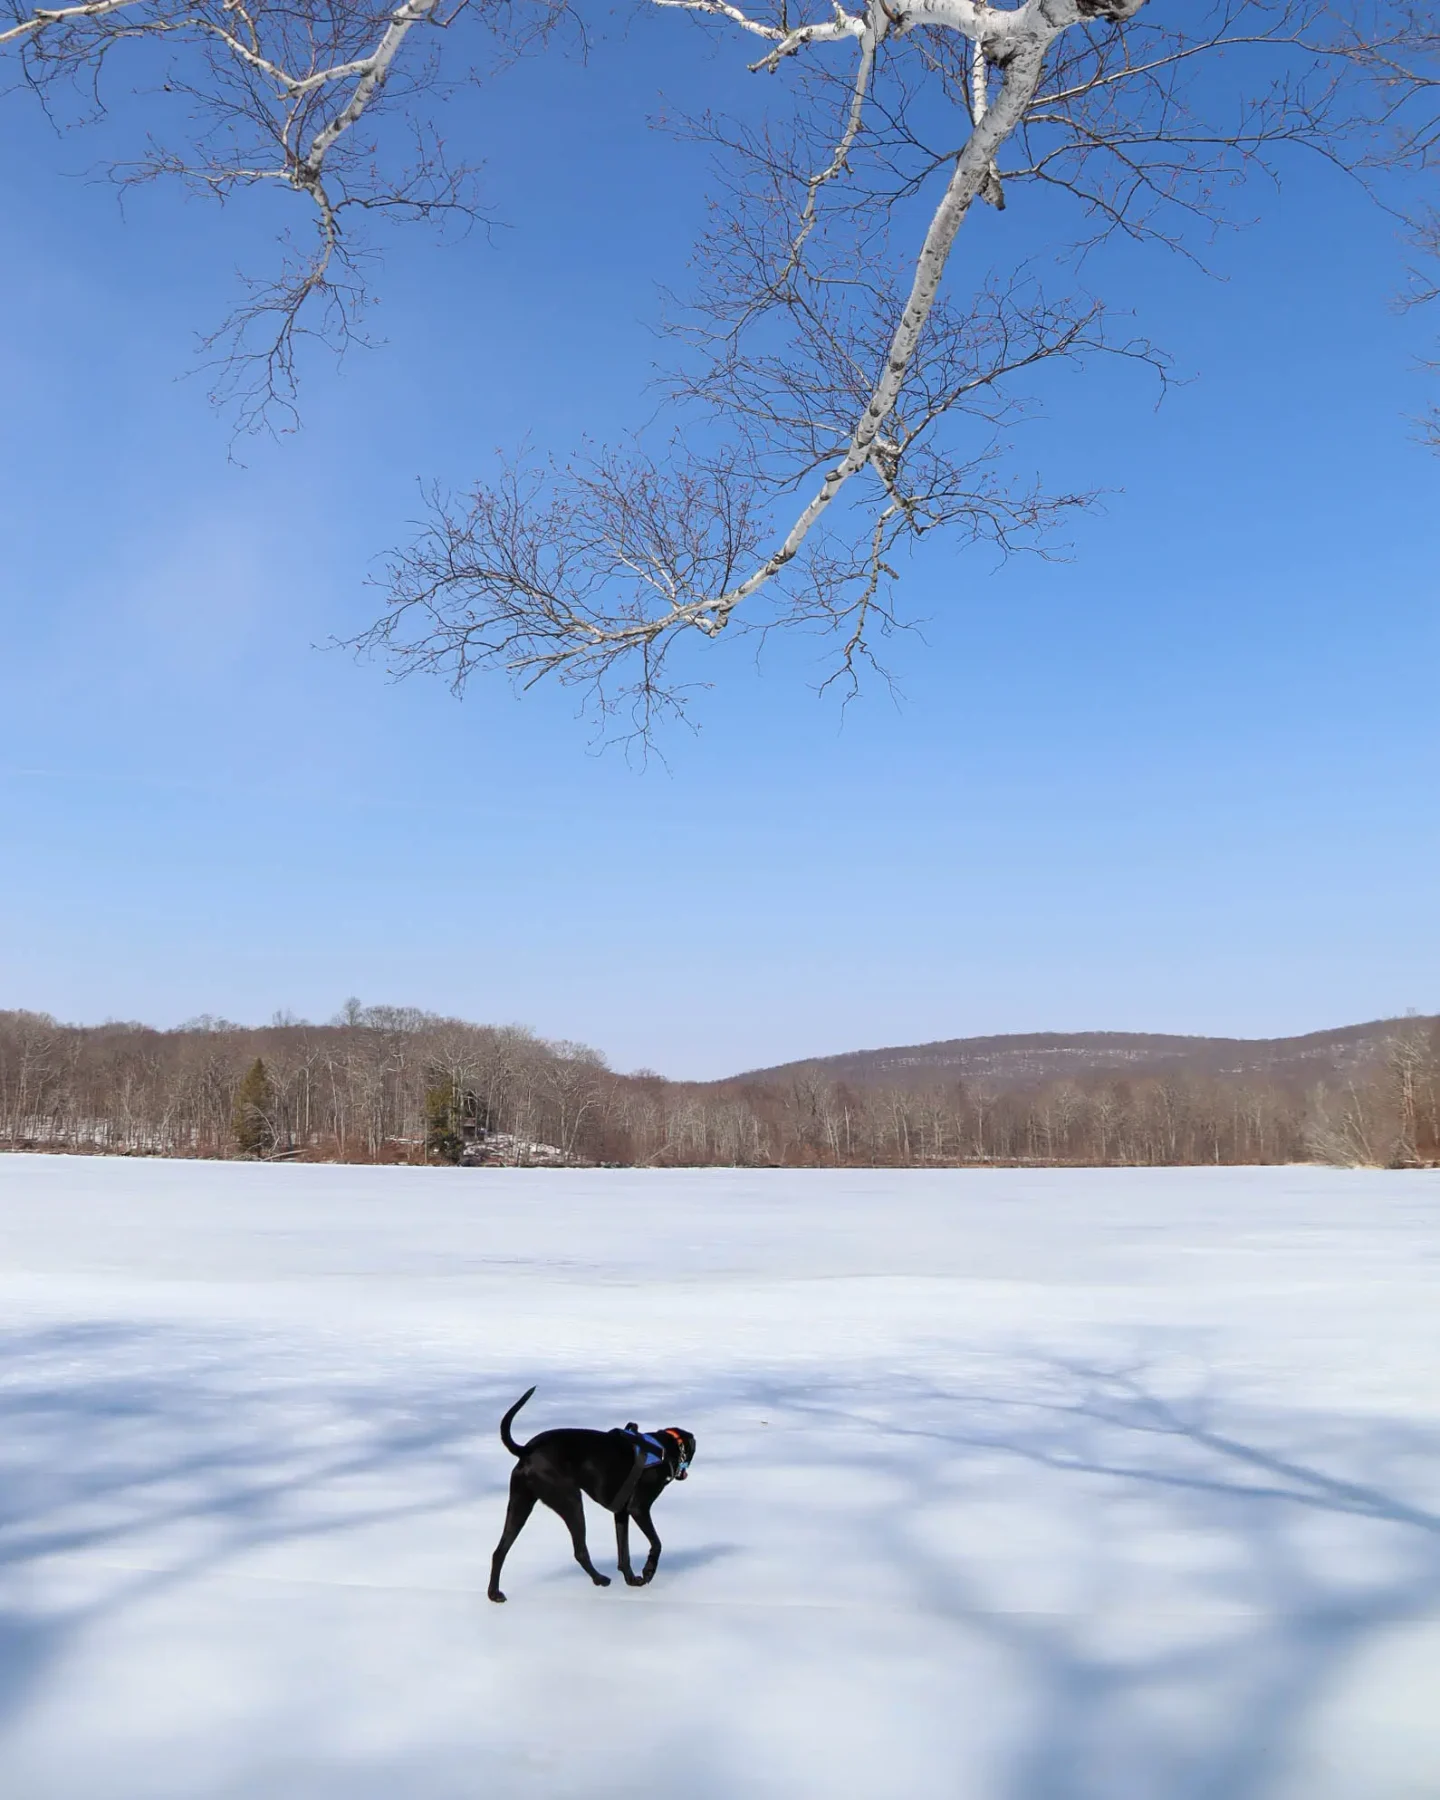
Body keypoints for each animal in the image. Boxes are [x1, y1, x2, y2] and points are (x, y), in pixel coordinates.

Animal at [486, 1389, 694, 1605]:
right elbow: (657, 1543)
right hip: (571, 1501)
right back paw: (600, 1579)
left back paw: (494, 1593)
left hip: (520, 1504)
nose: (685, 1474)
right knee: (580, 1551)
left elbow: (624, 1553)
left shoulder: (621, 1513)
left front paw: (631, 1579)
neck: (664, 1448)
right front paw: (648, 1571)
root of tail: (527, 1450)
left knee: (499, 1551)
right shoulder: (639, 1508)